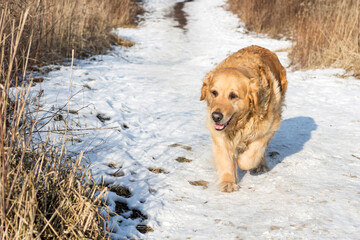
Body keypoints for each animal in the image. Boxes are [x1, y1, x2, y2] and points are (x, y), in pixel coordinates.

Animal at [200, 45, 286, 192]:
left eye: (233, 96)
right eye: (214, 92)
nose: (216, 116)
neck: (240, 123)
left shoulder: (268, 127)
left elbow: (250, 157)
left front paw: (241, 159)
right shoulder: (219, 135)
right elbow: (225, 159)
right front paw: (228, 182)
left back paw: (260, 165)